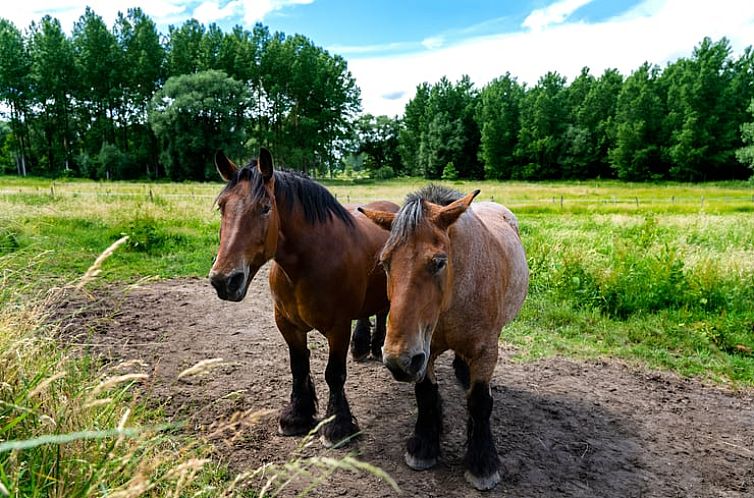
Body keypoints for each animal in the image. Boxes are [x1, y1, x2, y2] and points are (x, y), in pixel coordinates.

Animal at [206, 149, 394, 448]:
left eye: (265, 208)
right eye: (222, 207)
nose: (224, 280)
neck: (307, 265)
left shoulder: (338, 327)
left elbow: (334, 373)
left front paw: (337, 426)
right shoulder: (287, 324)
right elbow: (298, 366)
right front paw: (297, 416)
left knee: (384, 313)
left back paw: (377, 348)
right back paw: (363, 347)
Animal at [360, 184, 528, 490]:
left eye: (438, 262)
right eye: (385, 262)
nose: (398, 361)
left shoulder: (485, 352)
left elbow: (479, 402)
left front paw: (482, 463)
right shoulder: (424, 351)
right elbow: (426, 394)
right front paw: (424, 446)